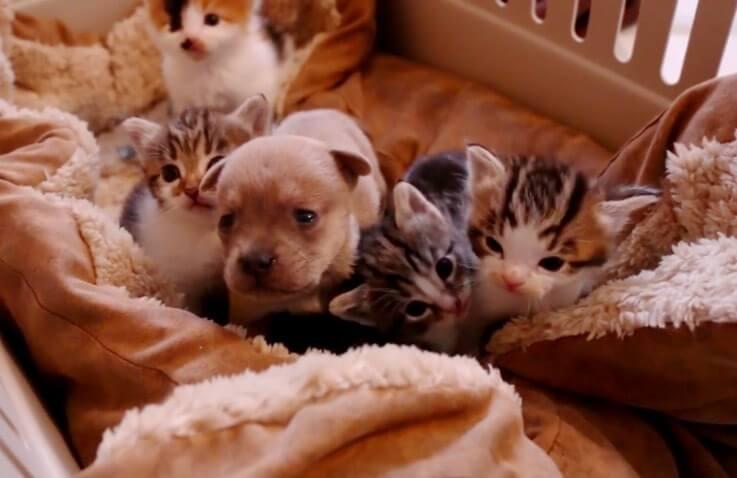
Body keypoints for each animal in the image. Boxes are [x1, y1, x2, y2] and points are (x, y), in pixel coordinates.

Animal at [145, 0, 285, 114]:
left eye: (212, 19)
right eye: (175, 24)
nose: (189, 42)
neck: (208, 66)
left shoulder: (258, 86)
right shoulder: (182, 98)